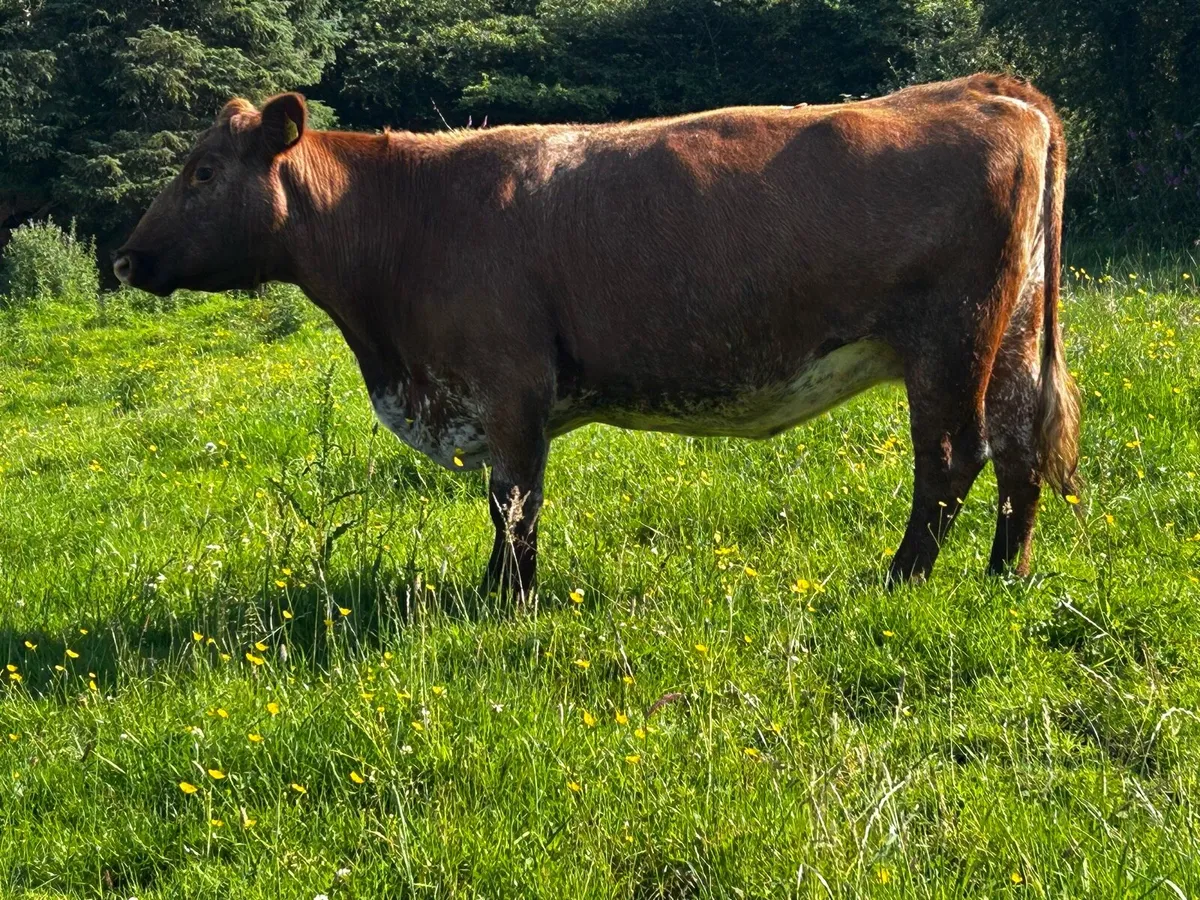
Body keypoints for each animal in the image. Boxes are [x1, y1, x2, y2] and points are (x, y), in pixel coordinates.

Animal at [114, 73, 1081, 598]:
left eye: (203, 171)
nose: (126, 257)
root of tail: (989, 91)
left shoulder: (509, 387)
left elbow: (513, 503)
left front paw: (507, 602)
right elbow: (507, 506)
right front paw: (492, 592)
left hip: (949, 339)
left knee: (952, 458)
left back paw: (899, 578)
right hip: (1012, 332)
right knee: (1019, 450)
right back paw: (1004, 574)